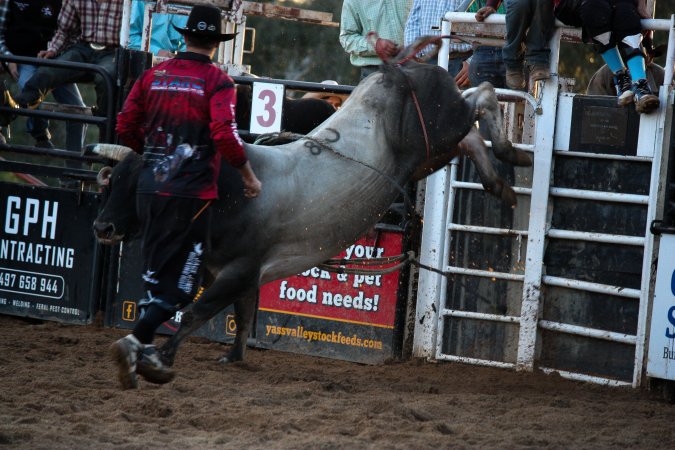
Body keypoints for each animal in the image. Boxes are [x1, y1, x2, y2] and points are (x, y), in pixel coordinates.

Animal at [92, 38, 532, 374]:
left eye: (136, 187)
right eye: (112, 182)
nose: (102, 228)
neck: (227, 193)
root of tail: (403, 70)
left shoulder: (238, 270)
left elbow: (200, 311)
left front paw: (163, 355)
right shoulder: (240, 274)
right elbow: (242, 315)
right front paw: (234, 356)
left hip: (439, 130)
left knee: (482, 95)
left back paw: (511, 152)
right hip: (435, 149)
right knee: (471, 134)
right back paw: (500, 182)